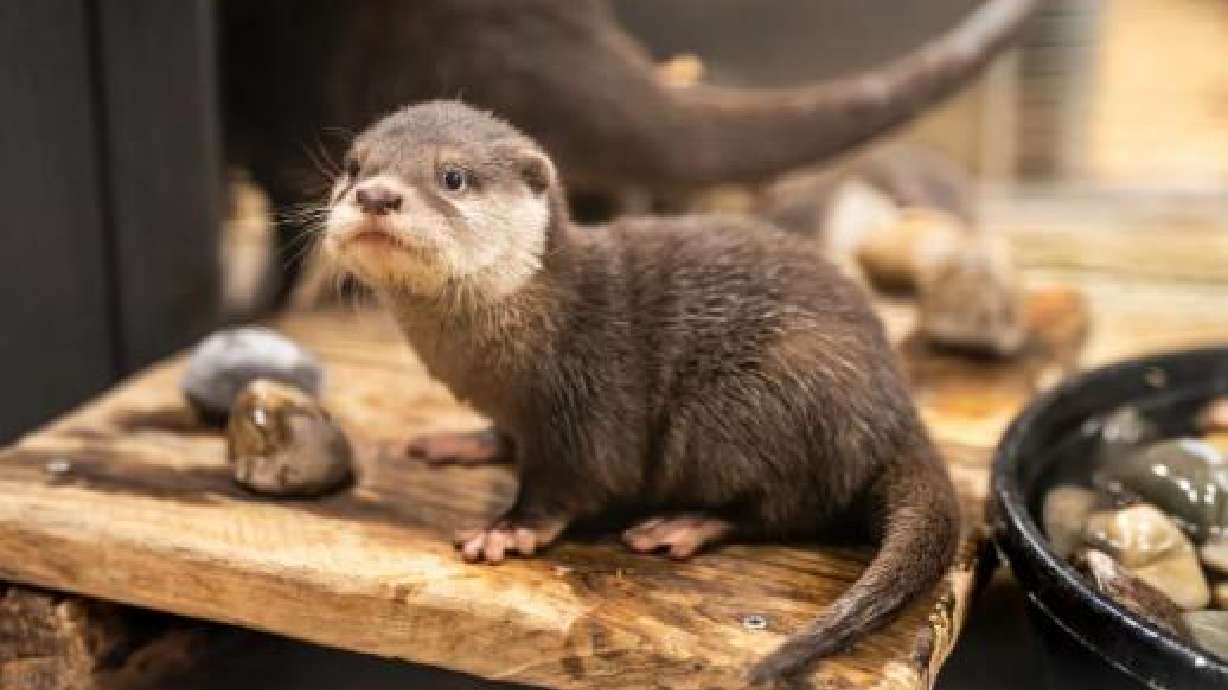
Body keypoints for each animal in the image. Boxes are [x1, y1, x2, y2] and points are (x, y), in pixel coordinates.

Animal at [322, 101, 959, 682]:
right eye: (353, 167)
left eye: (452, 176)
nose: (375, 196)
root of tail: (894, 411)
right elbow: (505, 436)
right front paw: (467, 441)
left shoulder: (589, 398)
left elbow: (572, 484)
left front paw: (508, 530)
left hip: (760, 397)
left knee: (790, 506)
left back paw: (684, 524)